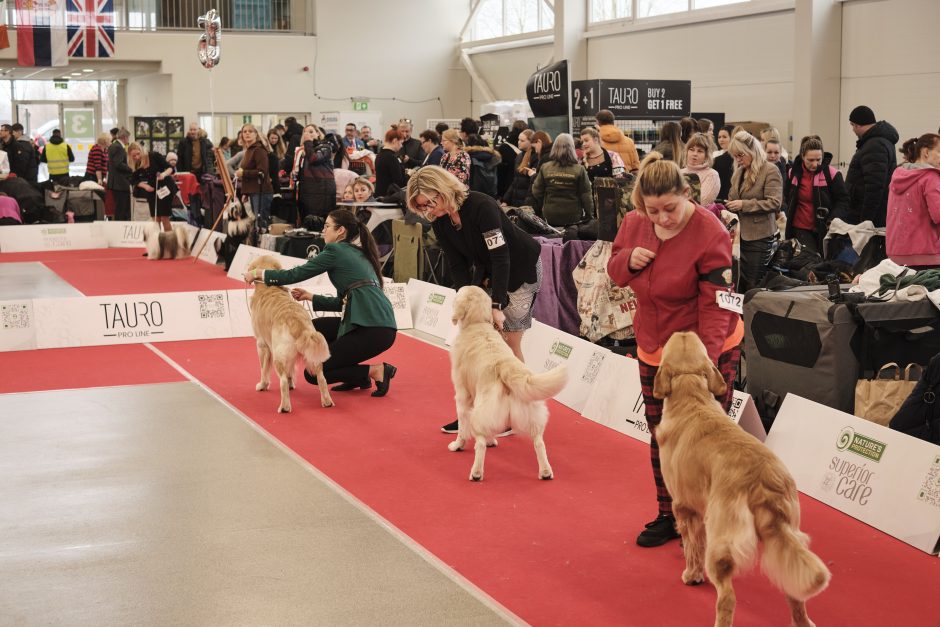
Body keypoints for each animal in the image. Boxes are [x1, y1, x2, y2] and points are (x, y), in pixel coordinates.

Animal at [248, 255, 332, 412]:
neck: (269, 288)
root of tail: (296, 320)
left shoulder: (262, 345)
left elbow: (263, 369)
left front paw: (262, 385)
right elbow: (290, 371)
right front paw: (292, 382)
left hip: (278, 355)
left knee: (282, 382)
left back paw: (285, 407)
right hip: (313, 355)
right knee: (321, 377)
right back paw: (327, 401)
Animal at [448, 288, 564, 484]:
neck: (477, 324)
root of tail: (505, 367)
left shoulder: (463, 395)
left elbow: (463, 426)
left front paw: (458, 444)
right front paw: (492, 441)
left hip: (481, 410)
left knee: (479, 443)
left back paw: (476, 472)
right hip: (530, 412)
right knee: (539, 442)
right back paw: (546, 472)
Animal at [652, 332, 828, 624]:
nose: (684, 331)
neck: (692, 396)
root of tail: (765, 480)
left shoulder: (684, 506)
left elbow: (692, 547)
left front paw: (692, 574)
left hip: (723, 535)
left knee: (727, 596)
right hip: (784, 535)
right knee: (795, 592)